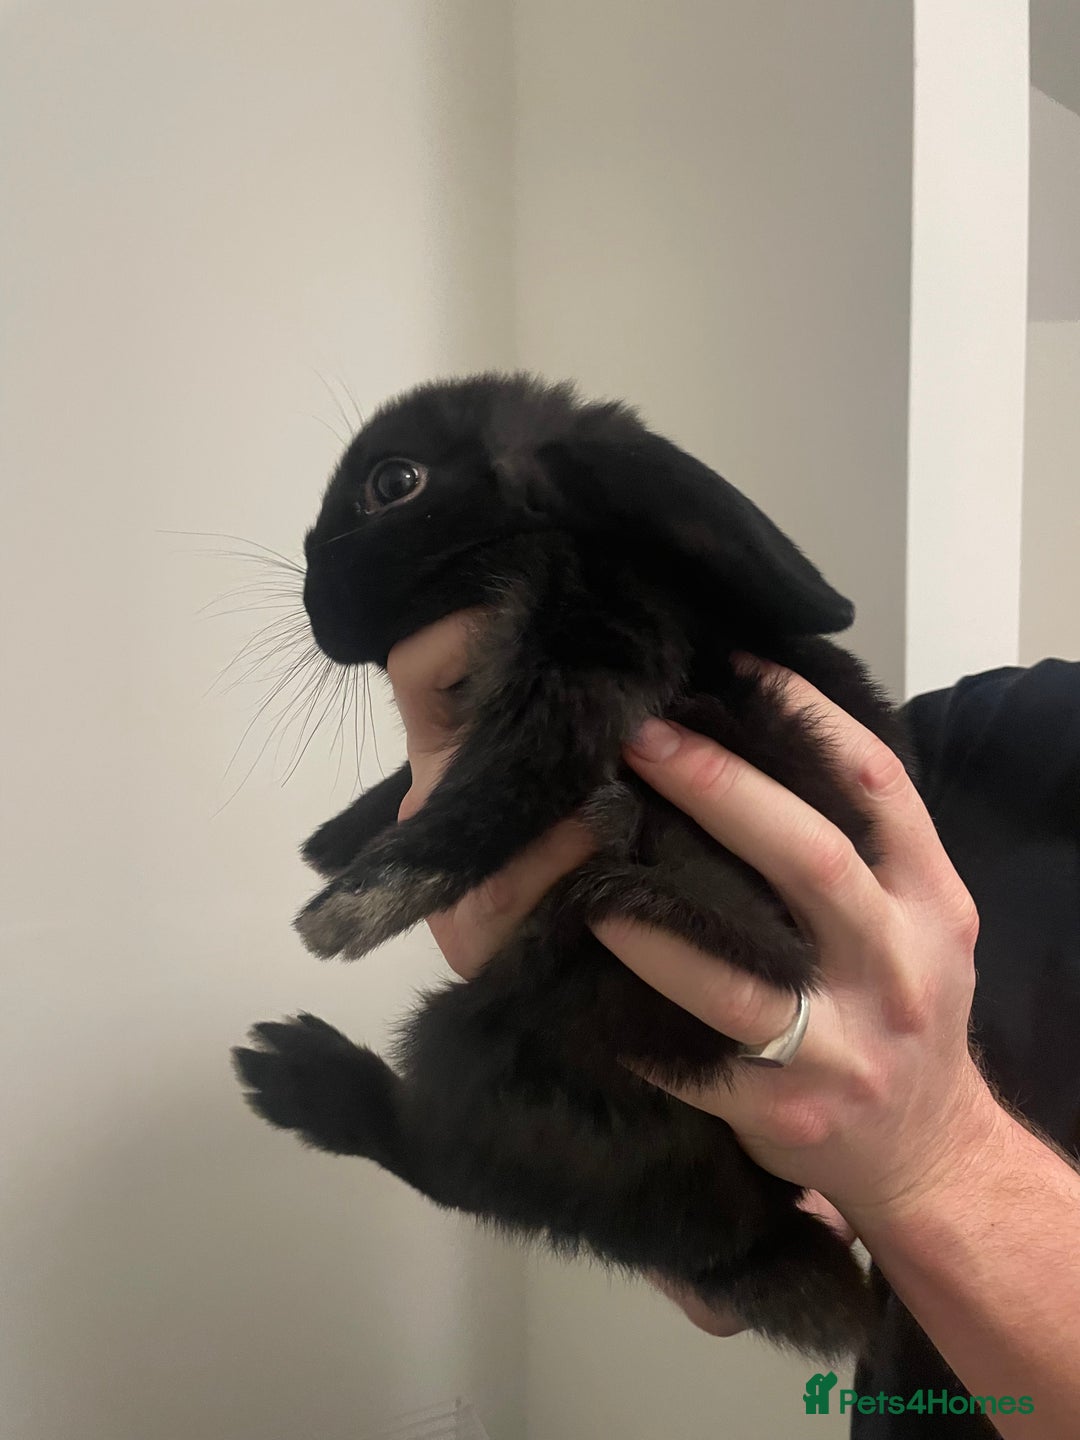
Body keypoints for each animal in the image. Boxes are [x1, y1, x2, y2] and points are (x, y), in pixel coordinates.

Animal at [232, 371, 915, 1360]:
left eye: (395, 482)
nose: (317, 601)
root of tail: (759, 1236)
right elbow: (423, 786)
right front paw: (332, 838)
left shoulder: (590, 654)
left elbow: (496, 790)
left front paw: (340, 913)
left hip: (485, 1045)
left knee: (445, 1164)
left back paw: (300, 1073)